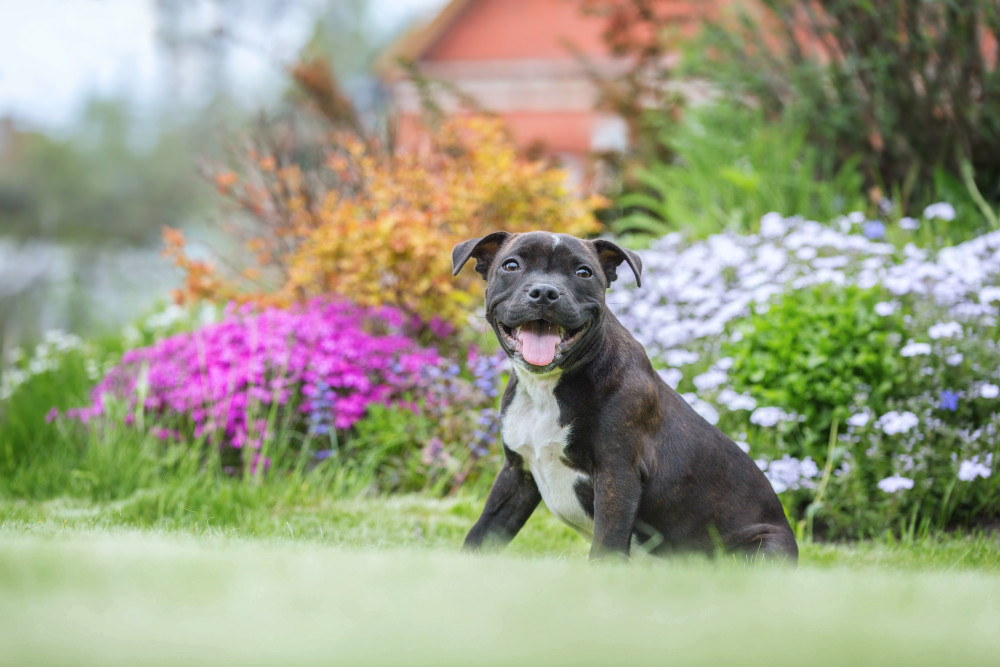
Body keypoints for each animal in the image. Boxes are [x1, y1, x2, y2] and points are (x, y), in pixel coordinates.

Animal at [454, 232, 796, 560]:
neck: (547, 387)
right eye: (511, 265)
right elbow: (483, 532)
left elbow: (606, 545)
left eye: (583, 272)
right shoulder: (516, 475)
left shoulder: (617, 475)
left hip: (765, 547)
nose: (545, 292)